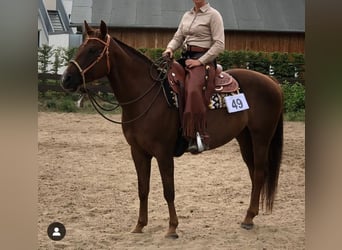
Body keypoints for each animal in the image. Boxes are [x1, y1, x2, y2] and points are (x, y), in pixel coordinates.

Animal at [60, 20, 284, 237]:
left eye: (93, 50)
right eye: (81, 47)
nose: (66, 79)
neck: (147, 96)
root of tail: (271, 80)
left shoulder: (163, 152)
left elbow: (168, 190)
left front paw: (172, 228)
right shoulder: (138, 152)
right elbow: (143, 188)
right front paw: (139, 225)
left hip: (261, 137)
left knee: (260, 172)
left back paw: (248, 218)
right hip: (245, 138)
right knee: (254, 172)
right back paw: (250, 216)